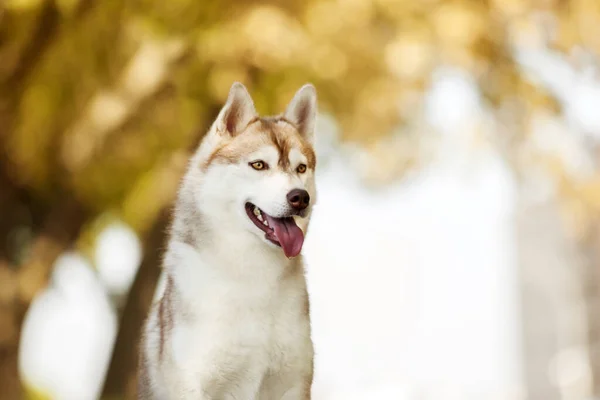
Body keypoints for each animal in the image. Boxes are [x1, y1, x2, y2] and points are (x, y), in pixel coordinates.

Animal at [138, 82, 318, 400]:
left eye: (301, 168)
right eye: (258, 165)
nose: (300, 197)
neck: (252, 276)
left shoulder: (292, 382)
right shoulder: (194, 381)